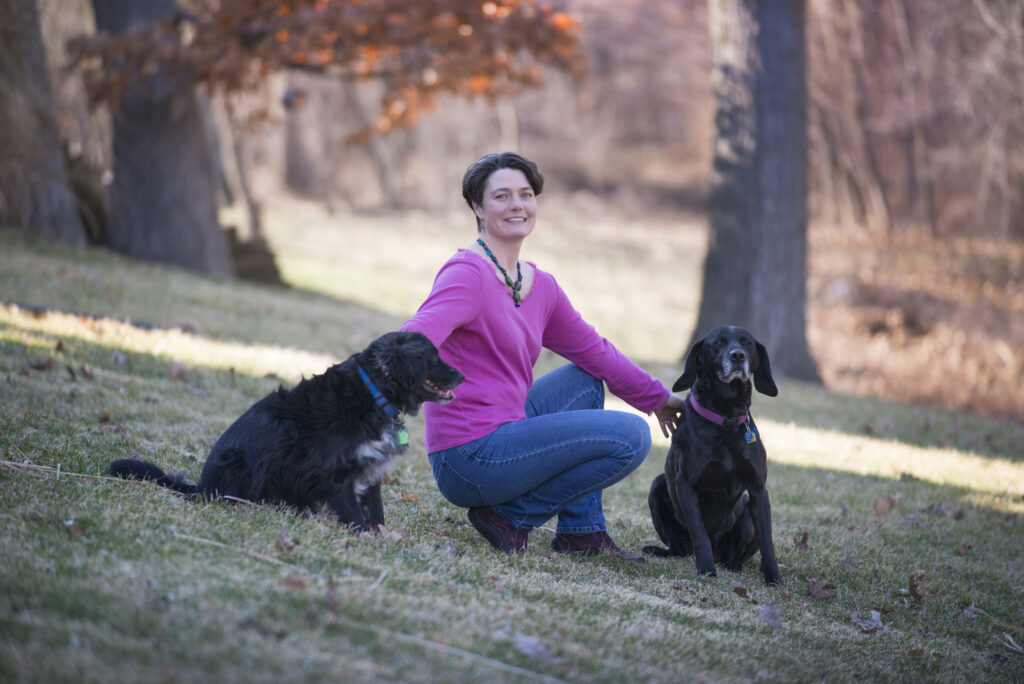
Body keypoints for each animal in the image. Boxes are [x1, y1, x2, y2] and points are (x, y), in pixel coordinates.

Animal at [110, 333, 462, 532]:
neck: (374, 391)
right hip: (240, 463)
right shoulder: (336, 475)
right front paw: (363, 538)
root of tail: (201, 487)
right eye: (433, 358)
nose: (461, 375)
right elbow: (356, 517)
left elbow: (376, 513)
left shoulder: (371, 469)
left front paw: (383, 538)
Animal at [643, 325, 778, 581]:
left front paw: (774, 578)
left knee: (734, 555)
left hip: (745, 510)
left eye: (746, 342)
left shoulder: (758, 490)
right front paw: (706, 570)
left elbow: (768, 539)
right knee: (680, 548)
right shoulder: (686, 484)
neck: (726, 415)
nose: (737, 356)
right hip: (657, 486)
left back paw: (734, 564)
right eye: (718, 343)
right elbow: (700, 534)